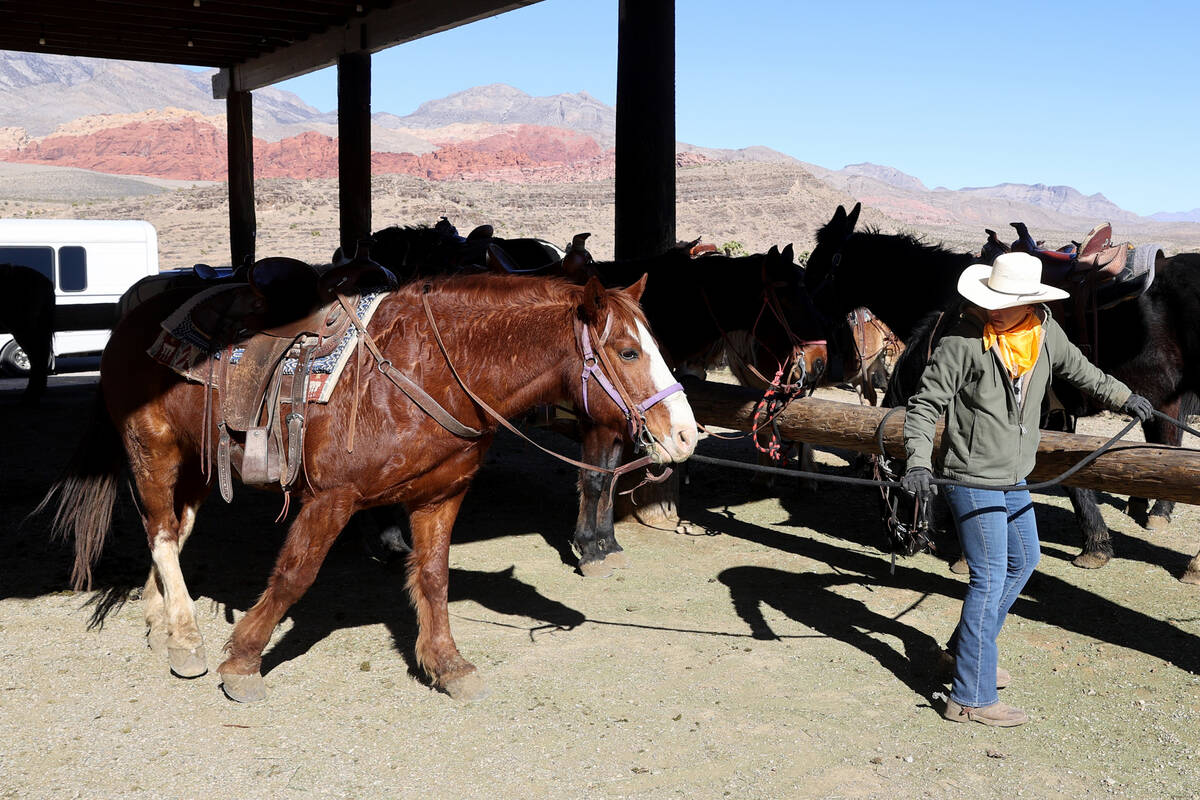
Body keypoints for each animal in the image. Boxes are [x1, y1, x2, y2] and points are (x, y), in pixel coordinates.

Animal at [42, 273, 700, 700]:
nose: (687, 435)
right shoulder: (331, 499)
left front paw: (447, 664)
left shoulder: (440, 496)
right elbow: (294, 575)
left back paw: (161, 626)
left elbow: (432, 578)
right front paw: (243, 661)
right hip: (150, 448)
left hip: (199, 464)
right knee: (158, 530)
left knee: (174, 535)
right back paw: (185, 639)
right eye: (627, 351)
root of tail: (132, 318)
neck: (427, 367)